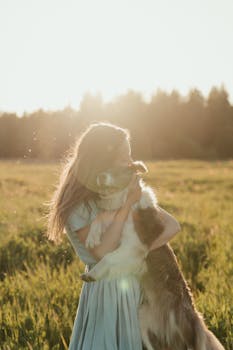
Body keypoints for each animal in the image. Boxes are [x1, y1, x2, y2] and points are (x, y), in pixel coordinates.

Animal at [80, 161, 226, 350]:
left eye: (120, 168)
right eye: (105, 165)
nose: (100, 176)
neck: (127, 203)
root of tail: (197, 320)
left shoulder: (134, 247)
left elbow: (108, 257)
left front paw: (92, 274)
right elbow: (100, 217)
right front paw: (92, 237)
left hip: (185, 334)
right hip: (142, 317)